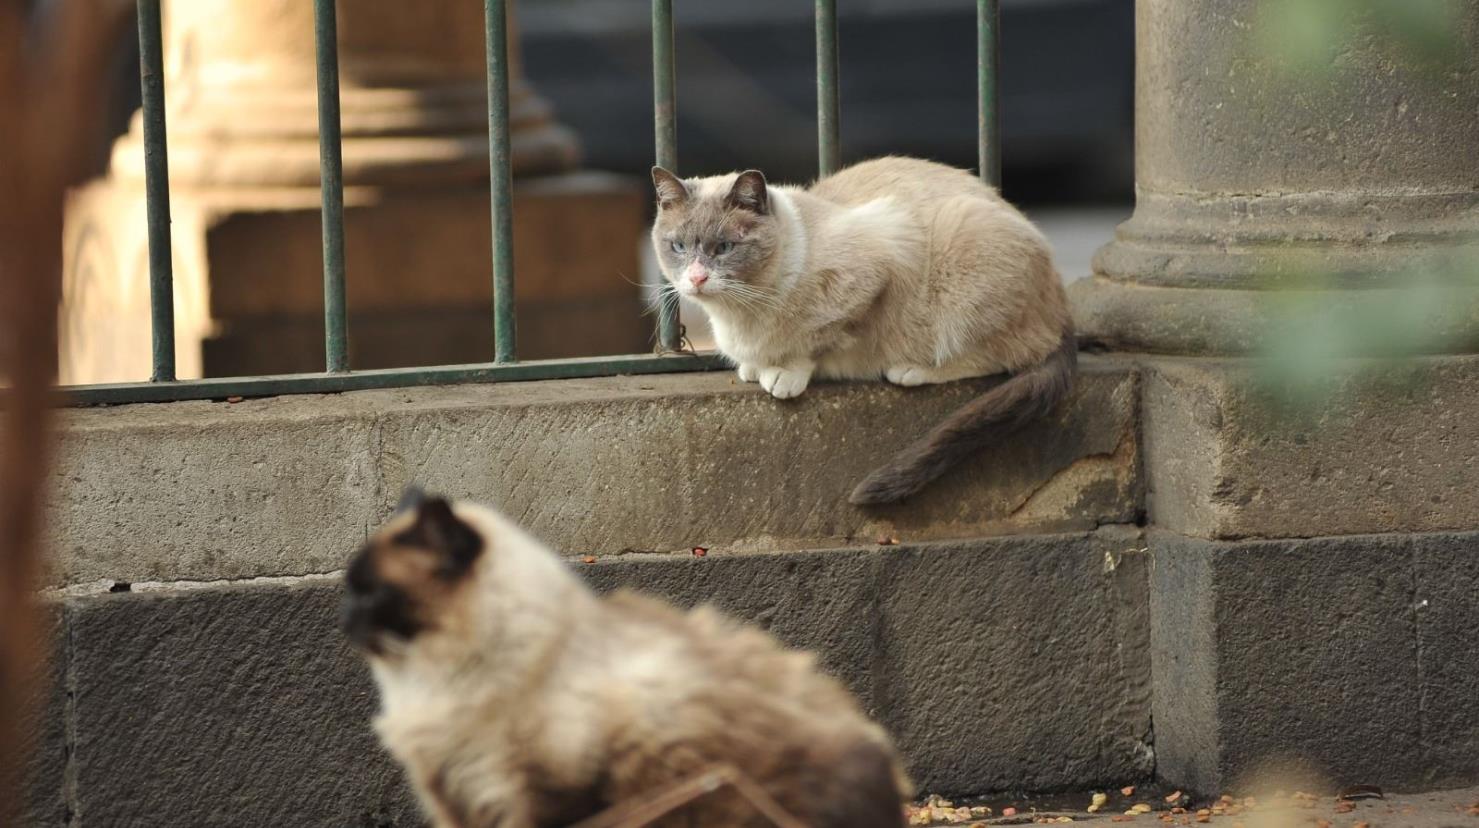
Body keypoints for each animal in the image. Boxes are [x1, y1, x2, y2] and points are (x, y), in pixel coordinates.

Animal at [343, 484, 911, 828]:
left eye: (373, 596)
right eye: (351, 590)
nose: (346, 619)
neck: (432, 681)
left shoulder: (542, 797)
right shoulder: (458, 800)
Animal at [650, 155, 1076, 505]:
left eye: (724, 247)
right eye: (678, 247)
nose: (696, 279)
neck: (740, 312)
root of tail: (1062, 309)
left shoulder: (878, 265)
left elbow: (816, 343)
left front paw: (784, 375)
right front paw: (754, 369)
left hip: (963, 255)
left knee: (1001, 356)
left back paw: (910, 370)